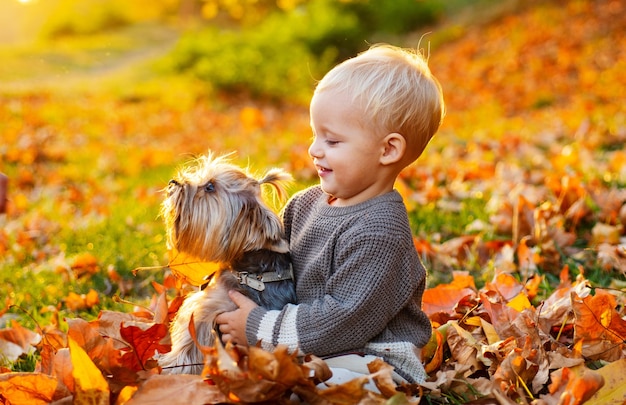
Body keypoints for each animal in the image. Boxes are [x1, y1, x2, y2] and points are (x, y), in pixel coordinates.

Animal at [157, 152, 296, 372]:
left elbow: (187, 345)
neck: (252, 275)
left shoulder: (204, 310)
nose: (174, 182)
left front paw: (167, 366)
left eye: (210, 187)